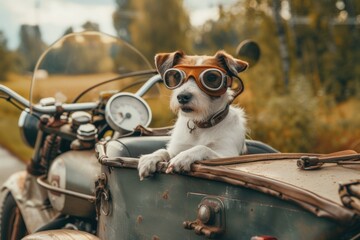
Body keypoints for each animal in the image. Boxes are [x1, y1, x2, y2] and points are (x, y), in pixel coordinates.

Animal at [137, 49, 248, 180]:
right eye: (176, 76)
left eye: (210, 77)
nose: (182, 97)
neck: (201, 125)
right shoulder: (176, 147)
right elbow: (164, 151)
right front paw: (150, 158)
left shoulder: (227, 155)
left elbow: (203, 147)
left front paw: (184, 157)